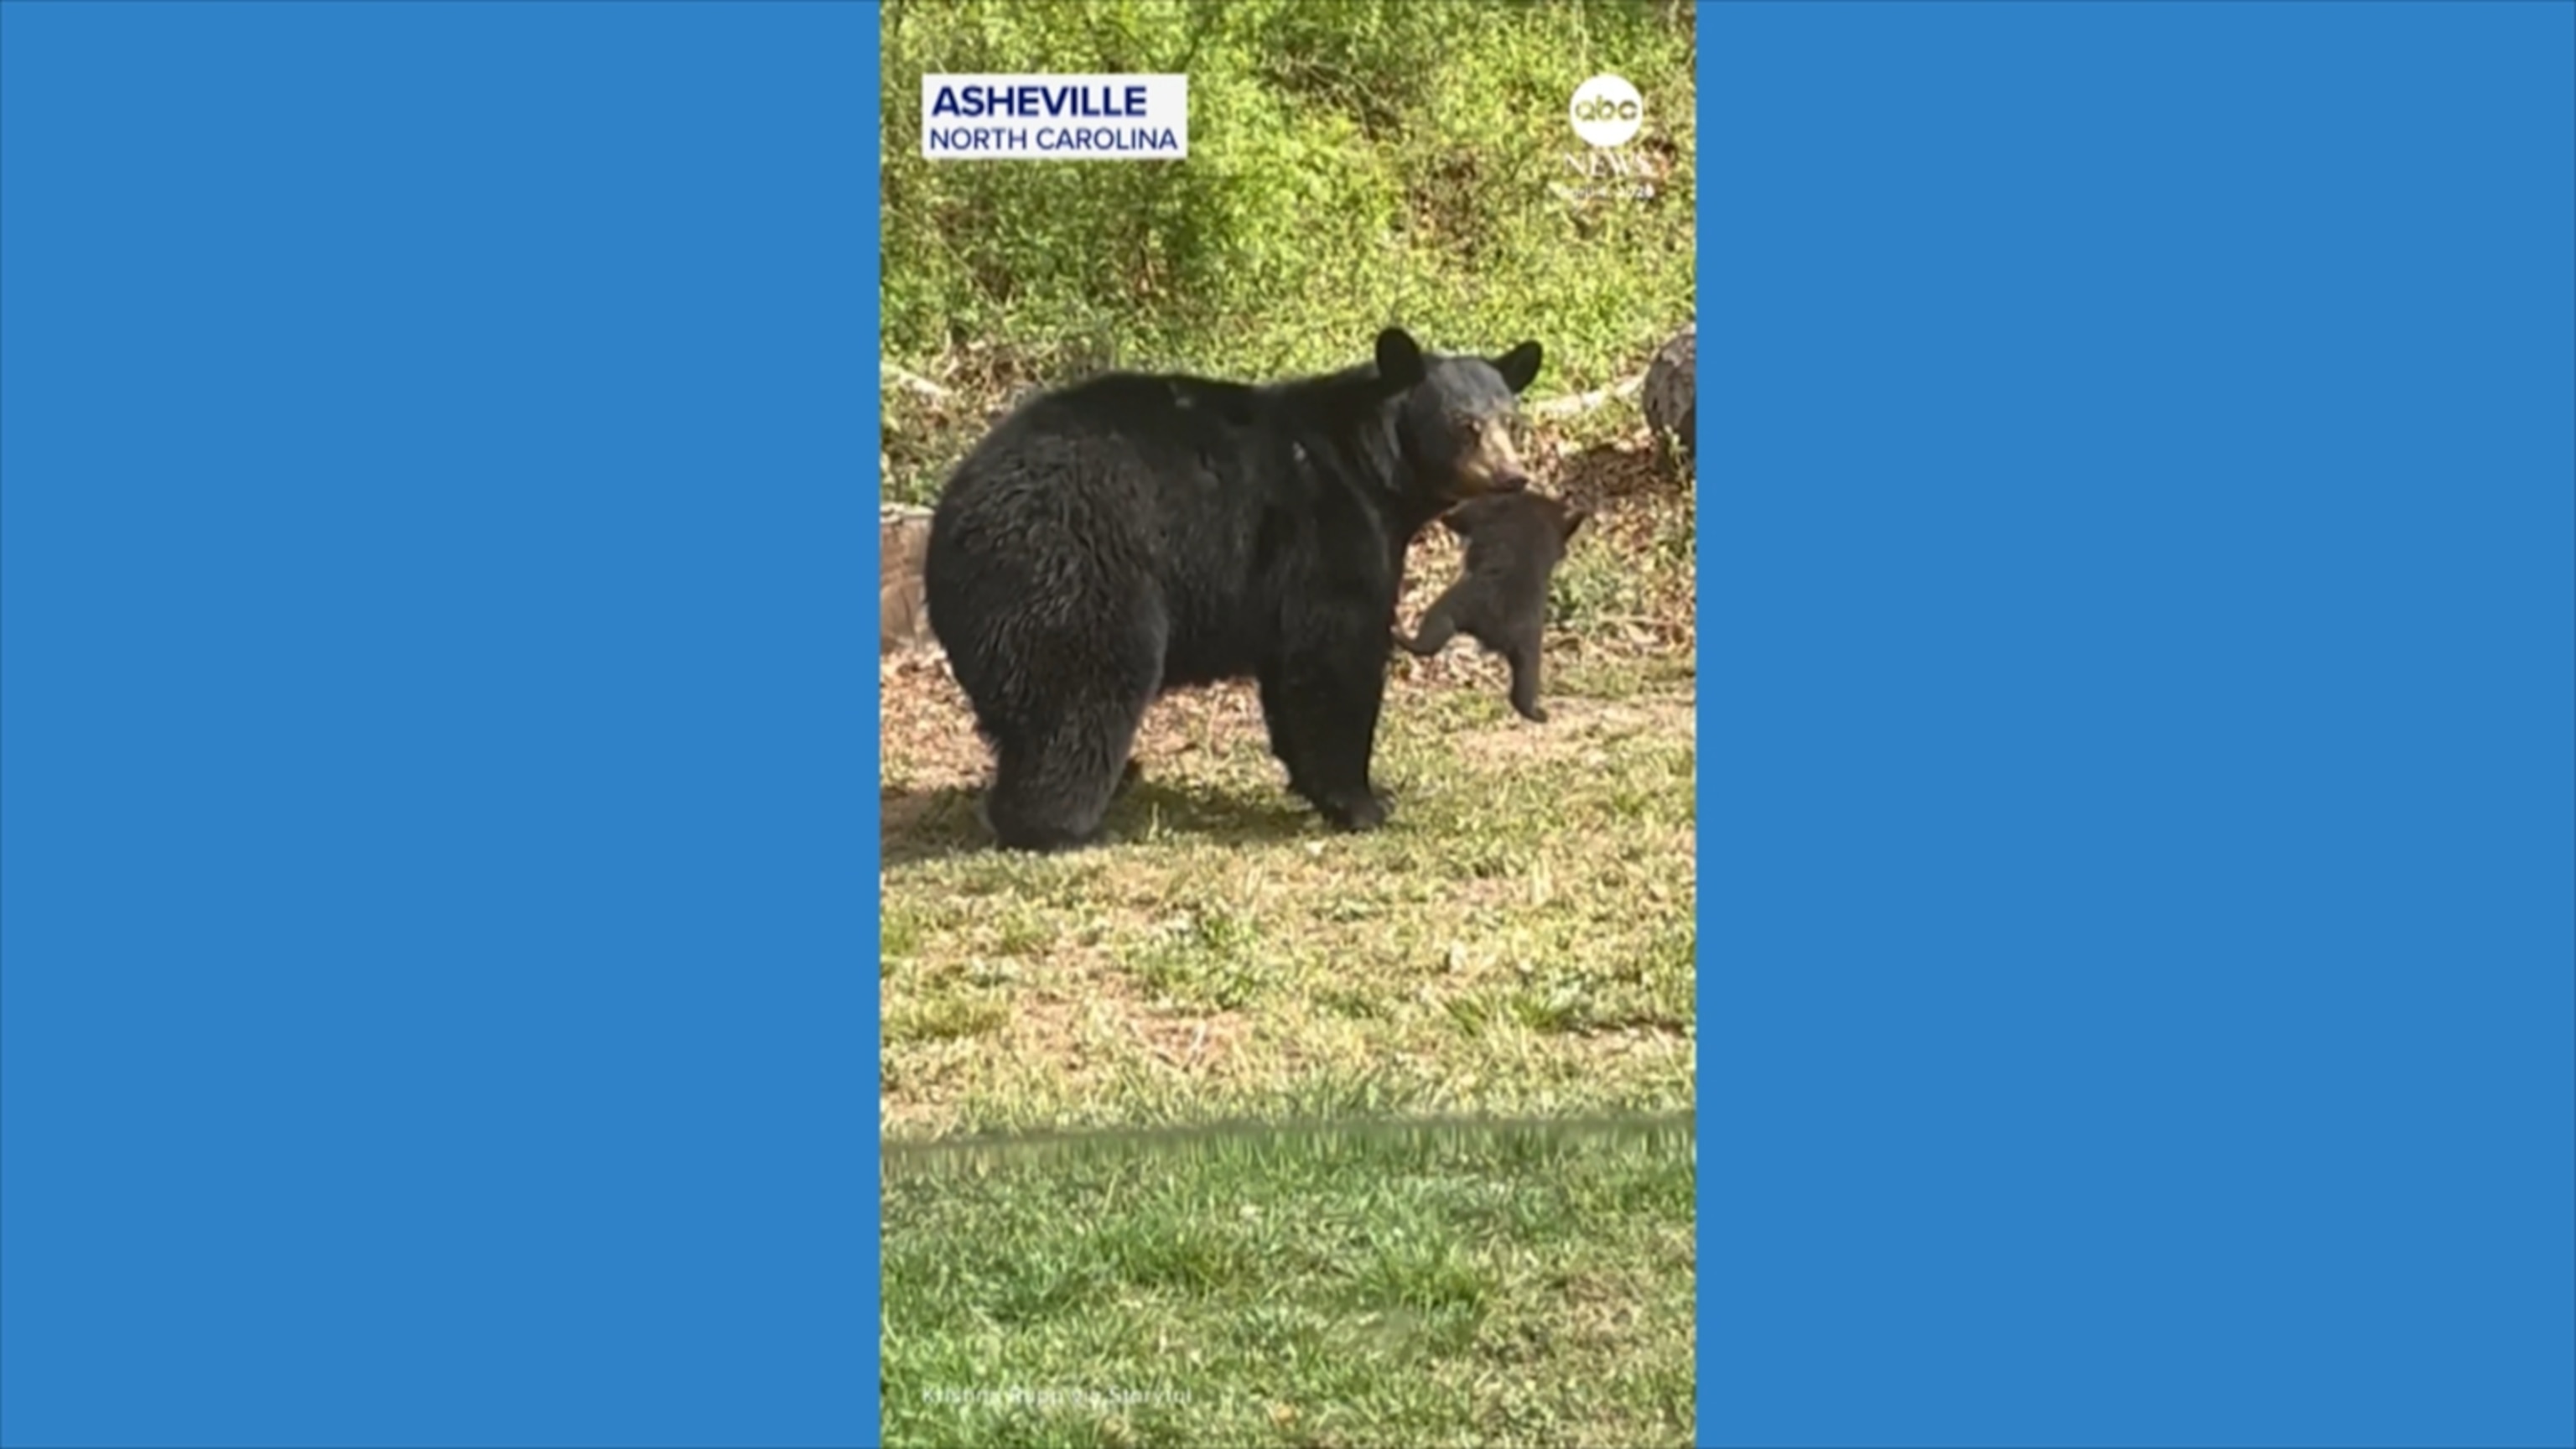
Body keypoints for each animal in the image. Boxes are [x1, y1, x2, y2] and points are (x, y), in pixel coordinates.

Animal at [922, 326, 1545, 852]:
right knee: (1081, 696)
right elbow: (1334, 656)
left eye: (1509, 419)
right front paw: (1365, 803)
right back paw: (1061, 825)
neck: (1372, 468)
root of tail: (950, 525)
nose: (1513, 476)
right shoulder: (1326, 528)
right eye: (1465, 424)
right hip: (1074, 574)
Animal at [1397, 490, 1588, 723]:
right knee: (1526, 684)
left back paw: (1401, 634)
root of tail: (1494, 633)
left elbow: (1462, 517)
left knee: (1431, 635)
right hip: (1529, 648)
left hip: (1452, 607)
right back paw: (1536, 713)